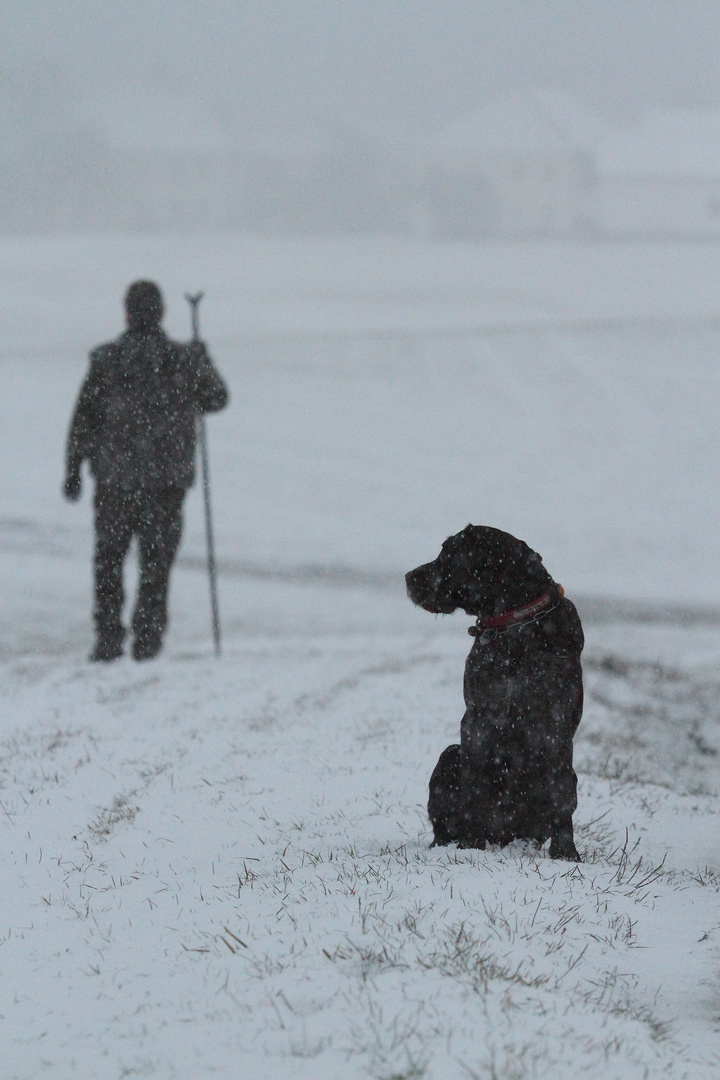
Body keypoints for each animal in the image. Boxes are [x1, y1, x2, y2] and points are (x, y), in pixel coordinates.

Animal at [408, 522, 582, 859]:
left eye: (449, 553)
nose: (409, 577)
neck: (515, 626)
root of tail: (505, 836)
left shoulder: (556, 722)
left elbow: (559, 795)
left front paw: (566, 852)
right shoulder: (478, 719)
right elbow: (473, 790)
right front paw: (469, 845)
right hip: (449, 755)